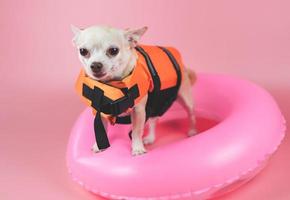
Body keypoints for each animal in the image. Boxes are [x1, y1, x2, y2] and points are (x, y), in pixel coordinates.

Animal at [71, 25, 197, 156]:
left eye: (113, 50)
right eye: (83, 51)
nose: (95, 65)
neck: (113, 83)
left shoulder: (138, 111)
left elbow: (136, 131)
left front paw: (137, 148)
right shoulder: (100, 111)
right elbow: (102, 129)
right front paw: (98, 146)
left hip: (184, 97)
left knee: (191, 113)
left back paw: (192, 131)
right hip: (156, 103)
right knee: (154, 120)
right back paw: (150, 138)